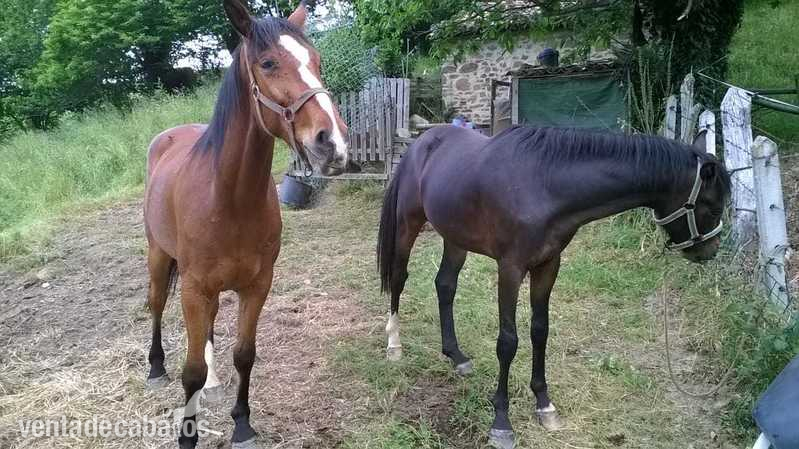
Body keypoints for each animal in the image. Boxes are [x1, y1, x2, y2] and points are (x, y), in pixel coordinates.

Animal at [143, 1, 348, 447]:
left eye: (317, 62)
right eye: (268, 63)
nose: (334, 143)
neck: (229, 200)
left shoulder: (257, 285)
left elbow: (244, 354)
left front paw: (242, 424)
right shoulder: (193, 288)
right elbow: (190, 373)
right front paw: (188, 434)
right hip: (158, 256)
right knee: (156, 304)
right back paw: (154, 367)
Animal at [377, 125, 730, 449]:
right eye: (712, 206)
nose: (708, 252)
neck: (544, 185)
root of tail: (421, 142)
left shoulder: (548, 266)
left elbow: (540, 331)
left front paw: (545, 405)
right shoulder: (510, 268)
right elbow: (508, 341)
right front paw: (501, 422)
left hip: (455, 236)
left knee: (445, 285)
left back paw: (455, 354)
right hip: (408, 224)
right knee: (399, 278)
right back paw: (394, 344)